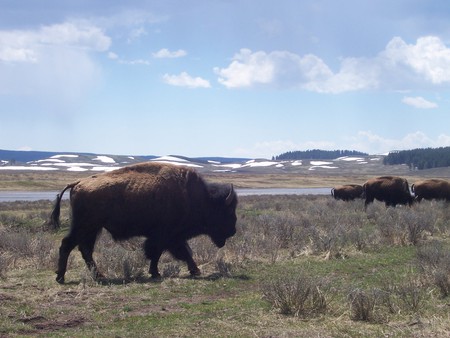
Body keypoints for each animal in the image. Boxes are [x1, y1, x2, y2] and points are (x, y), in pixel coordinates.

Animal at [49, 162, 237, 284]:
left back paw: (97, 276)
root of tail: (78, 183)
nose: (233, 231)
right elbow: (167, 253)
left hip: (92, 229)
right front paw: (161, 273)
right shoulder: (166, 236)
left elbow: (175, 253)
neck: (198, 198)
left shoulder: (169, 237)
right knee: (68, 245)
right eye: (227, 212)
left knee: (85, 249)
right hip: (85, 227)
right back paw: (61, 277)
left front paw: (189, 270)